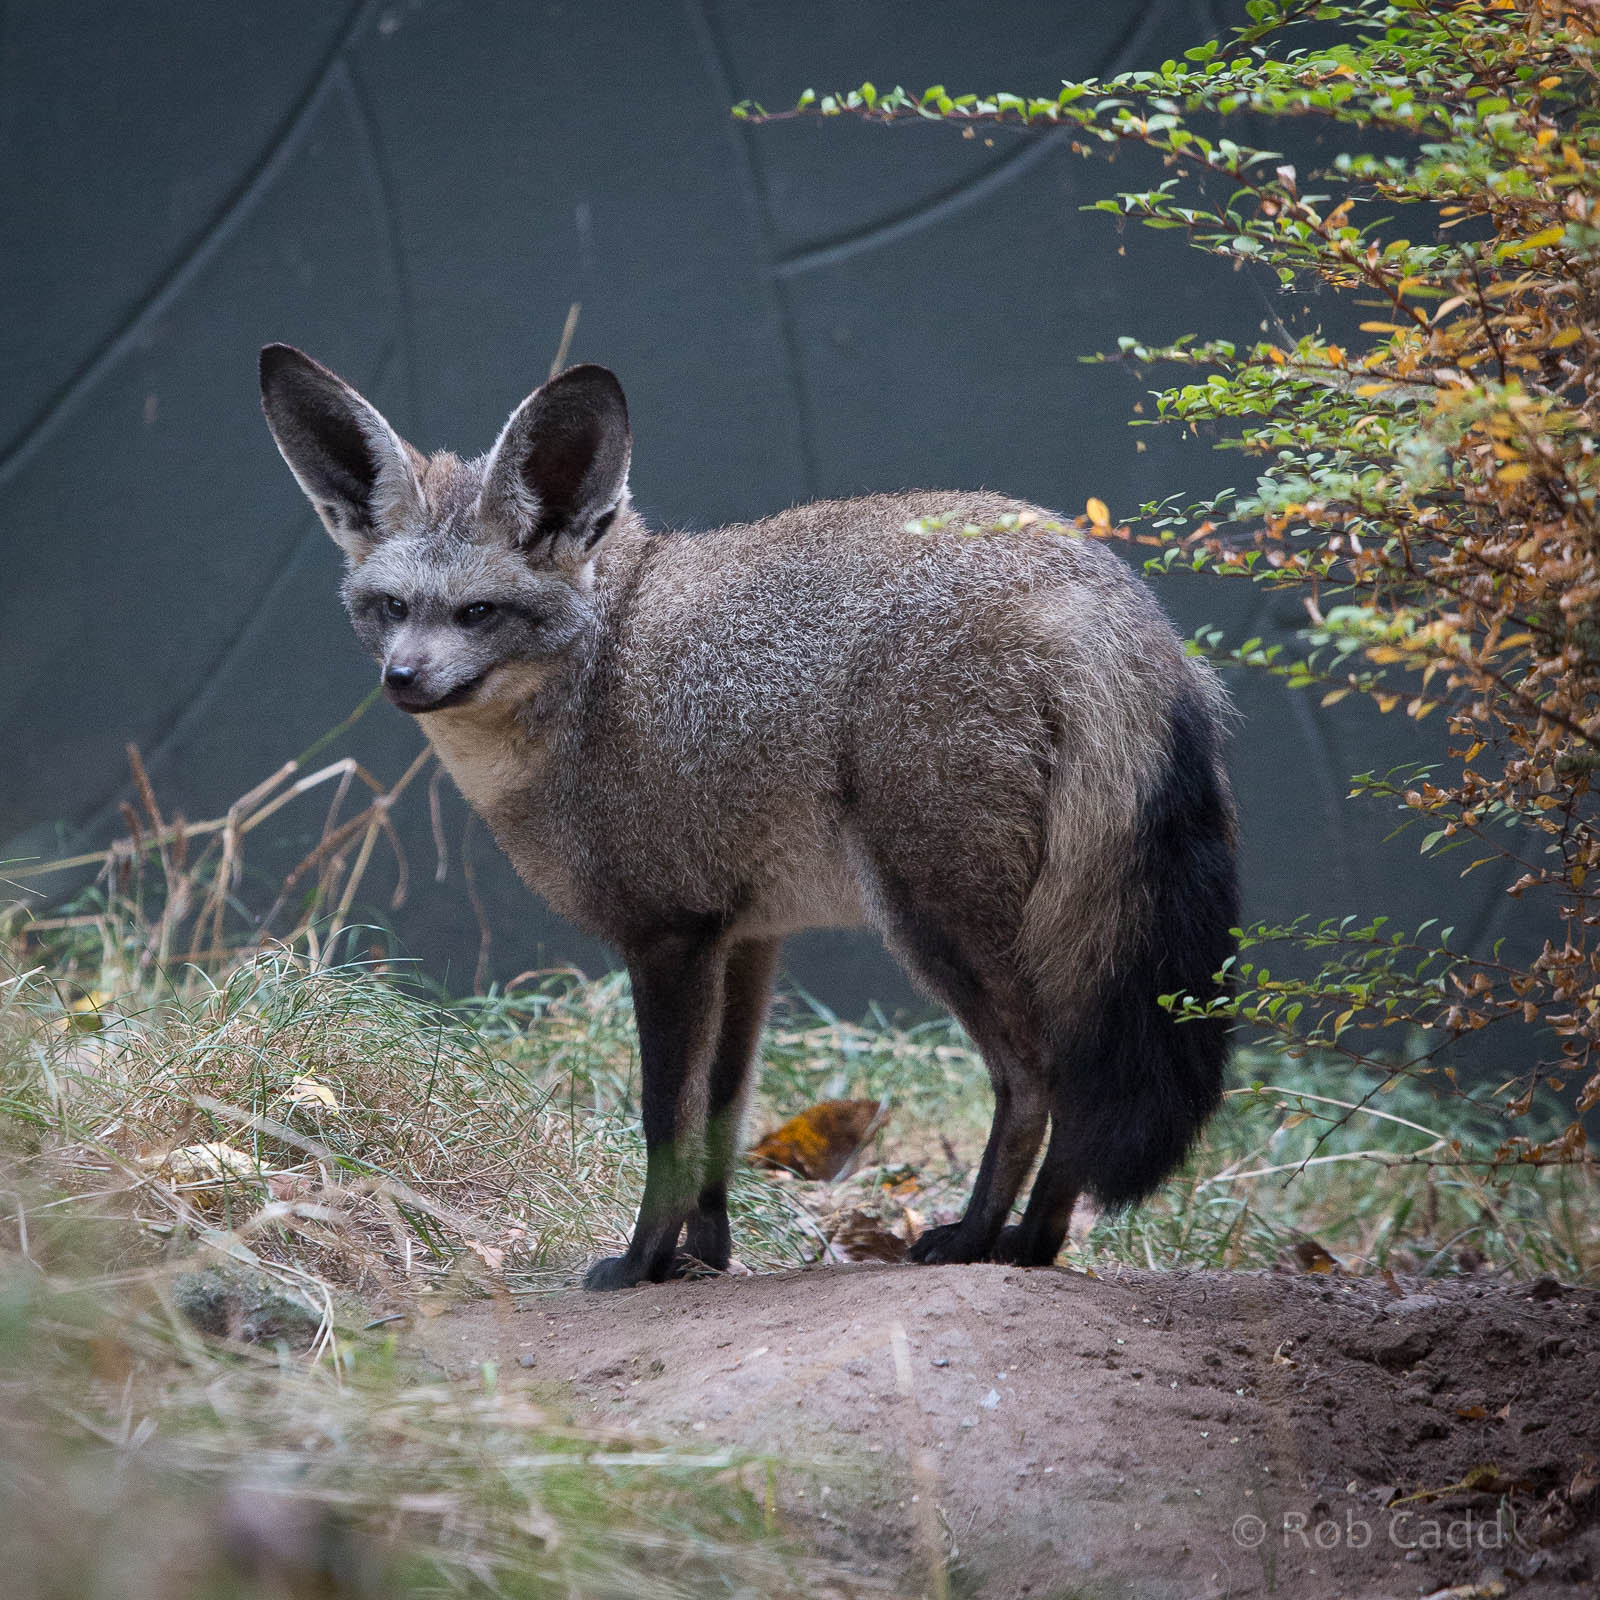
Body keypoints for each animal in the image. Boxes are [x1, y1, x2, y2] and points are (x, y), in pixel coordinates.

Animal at [259, 344, 1238, 1290]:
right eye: (392, 608)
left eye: (479, 612)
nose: (403, 679)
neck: (600, 669)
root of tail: (1095, 584)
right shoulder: (747, 937)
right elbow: (723, 1120)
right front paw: (705, 1256)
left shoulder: (668, 937)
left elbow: (667, 1122)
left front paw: (641, 1264)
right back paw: (1032, 1245)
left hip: (935, 921)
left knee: (1044, 1081)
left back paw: (980, 1240)